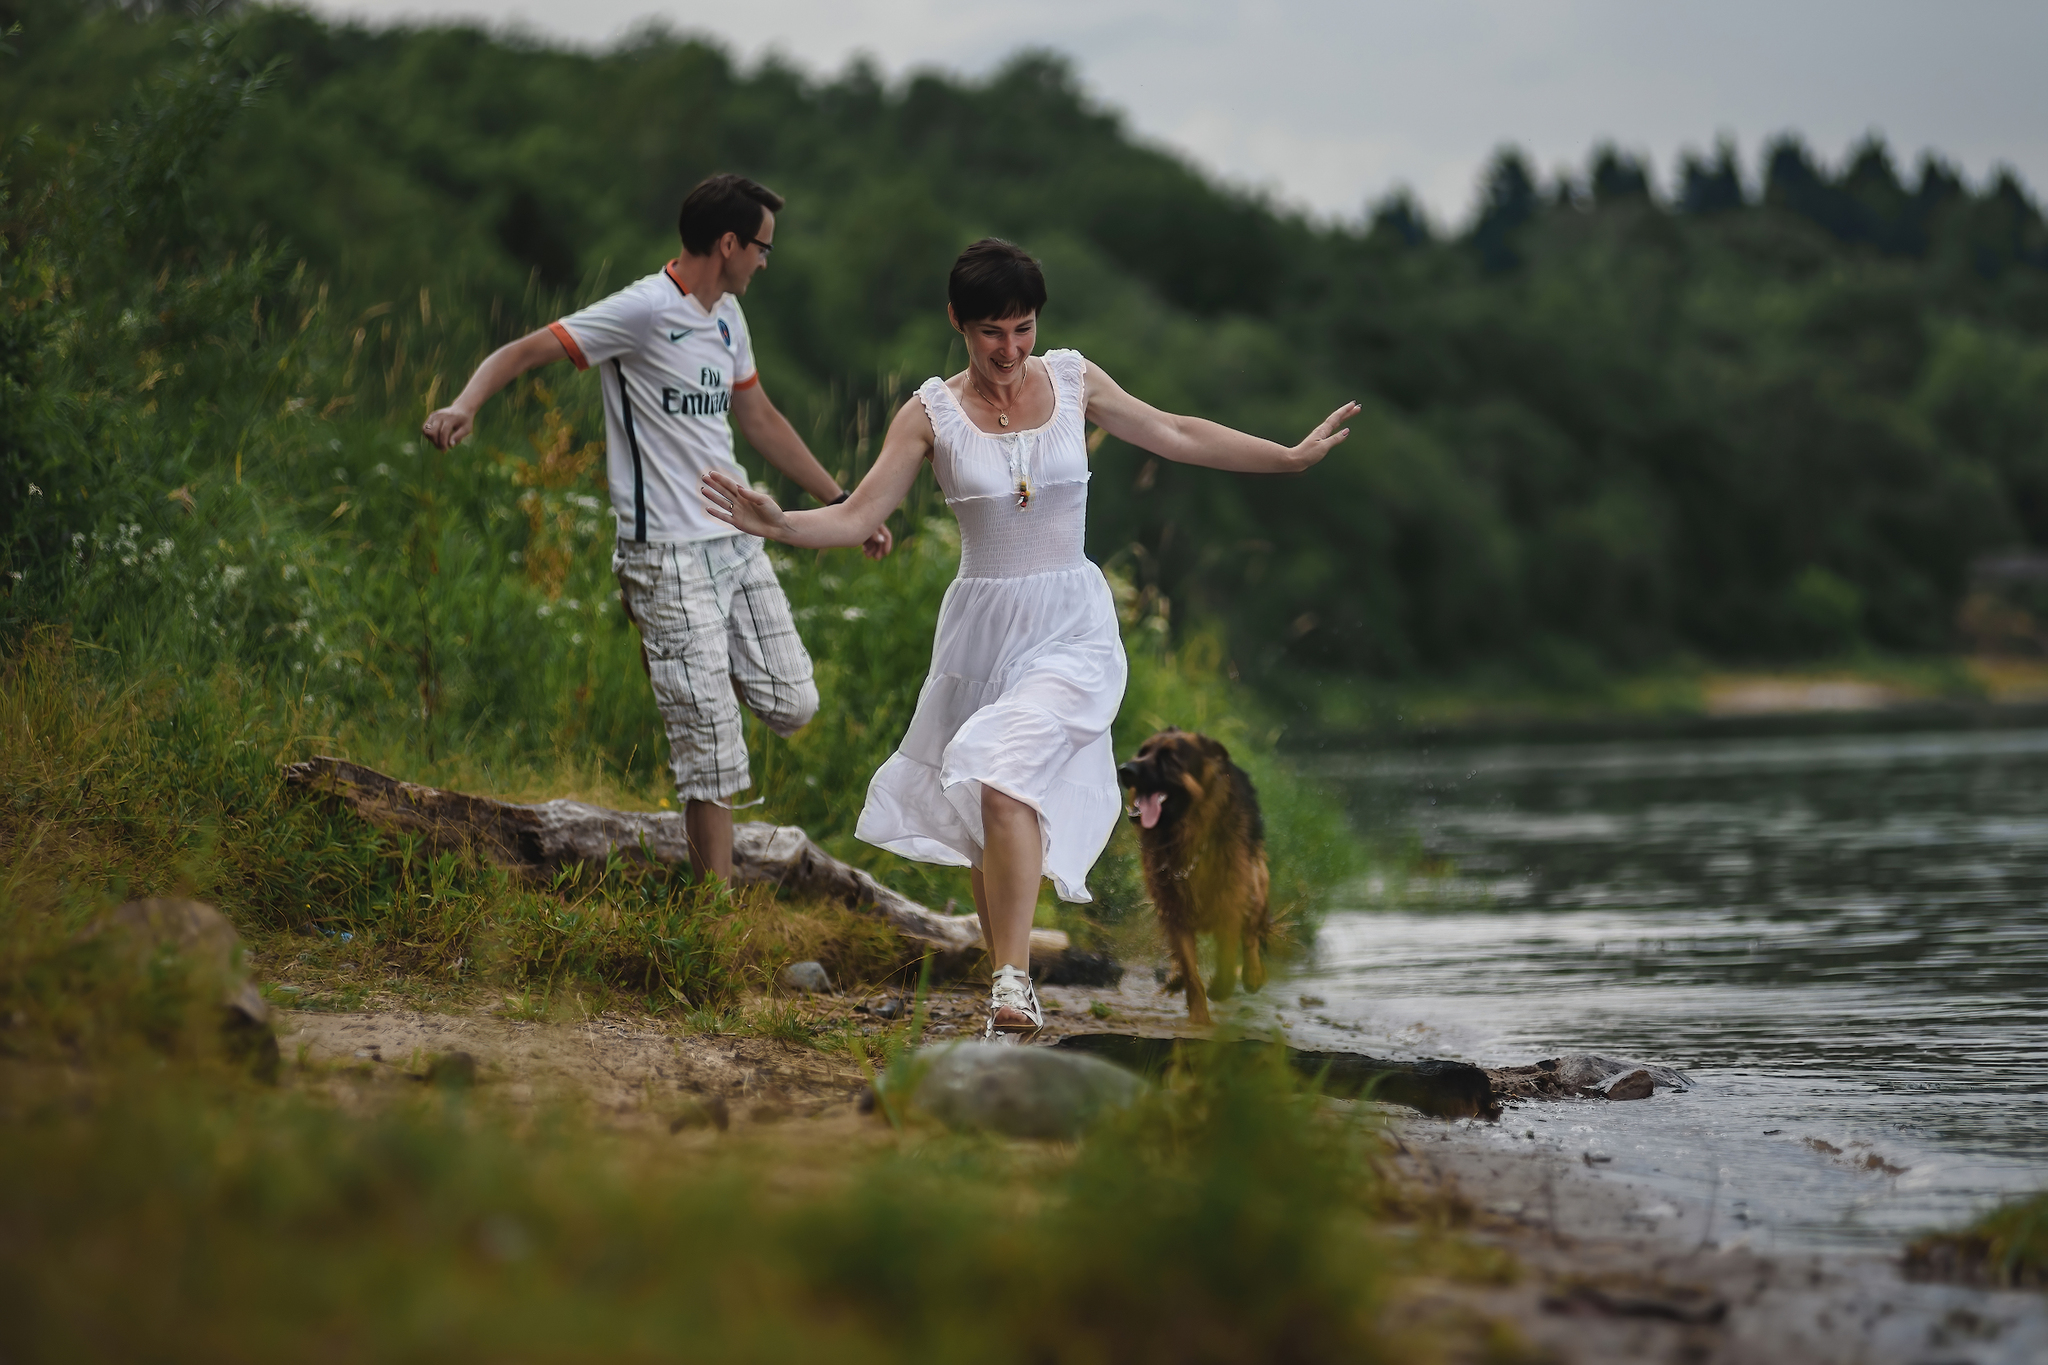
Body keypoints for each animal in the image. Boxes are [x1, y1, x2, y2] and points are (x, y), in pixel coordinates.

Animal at [1122, 732, 1261, 1019]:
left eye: (1169, 759)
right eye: (1142, 752)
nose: (1124, 769)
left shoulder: (1230, 900)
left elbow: (1227, 955)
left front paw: (1221, 987)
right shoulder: (1173, 909)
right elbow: (1191, 972)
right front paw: (1198, 1017)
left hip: (1256, 882)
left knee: (1253, 926)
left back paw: (1253, 973)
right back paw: (1176, 976)